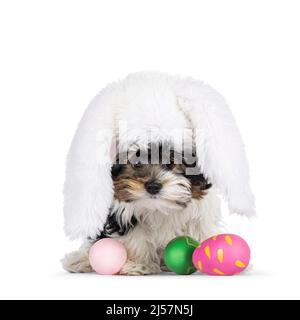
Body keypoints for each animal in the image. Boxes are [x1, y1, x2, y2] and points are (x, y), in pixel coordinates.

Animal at [62, 146, 221, 276]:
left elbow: (201, 230)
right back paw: (80, 260)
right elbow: (136, 237)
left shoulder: (200, 212)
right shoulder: (124, 213)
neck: (158, 207)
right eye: (137, 162)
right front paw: (139, 264)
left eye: (170, 163)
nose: (153, 186)